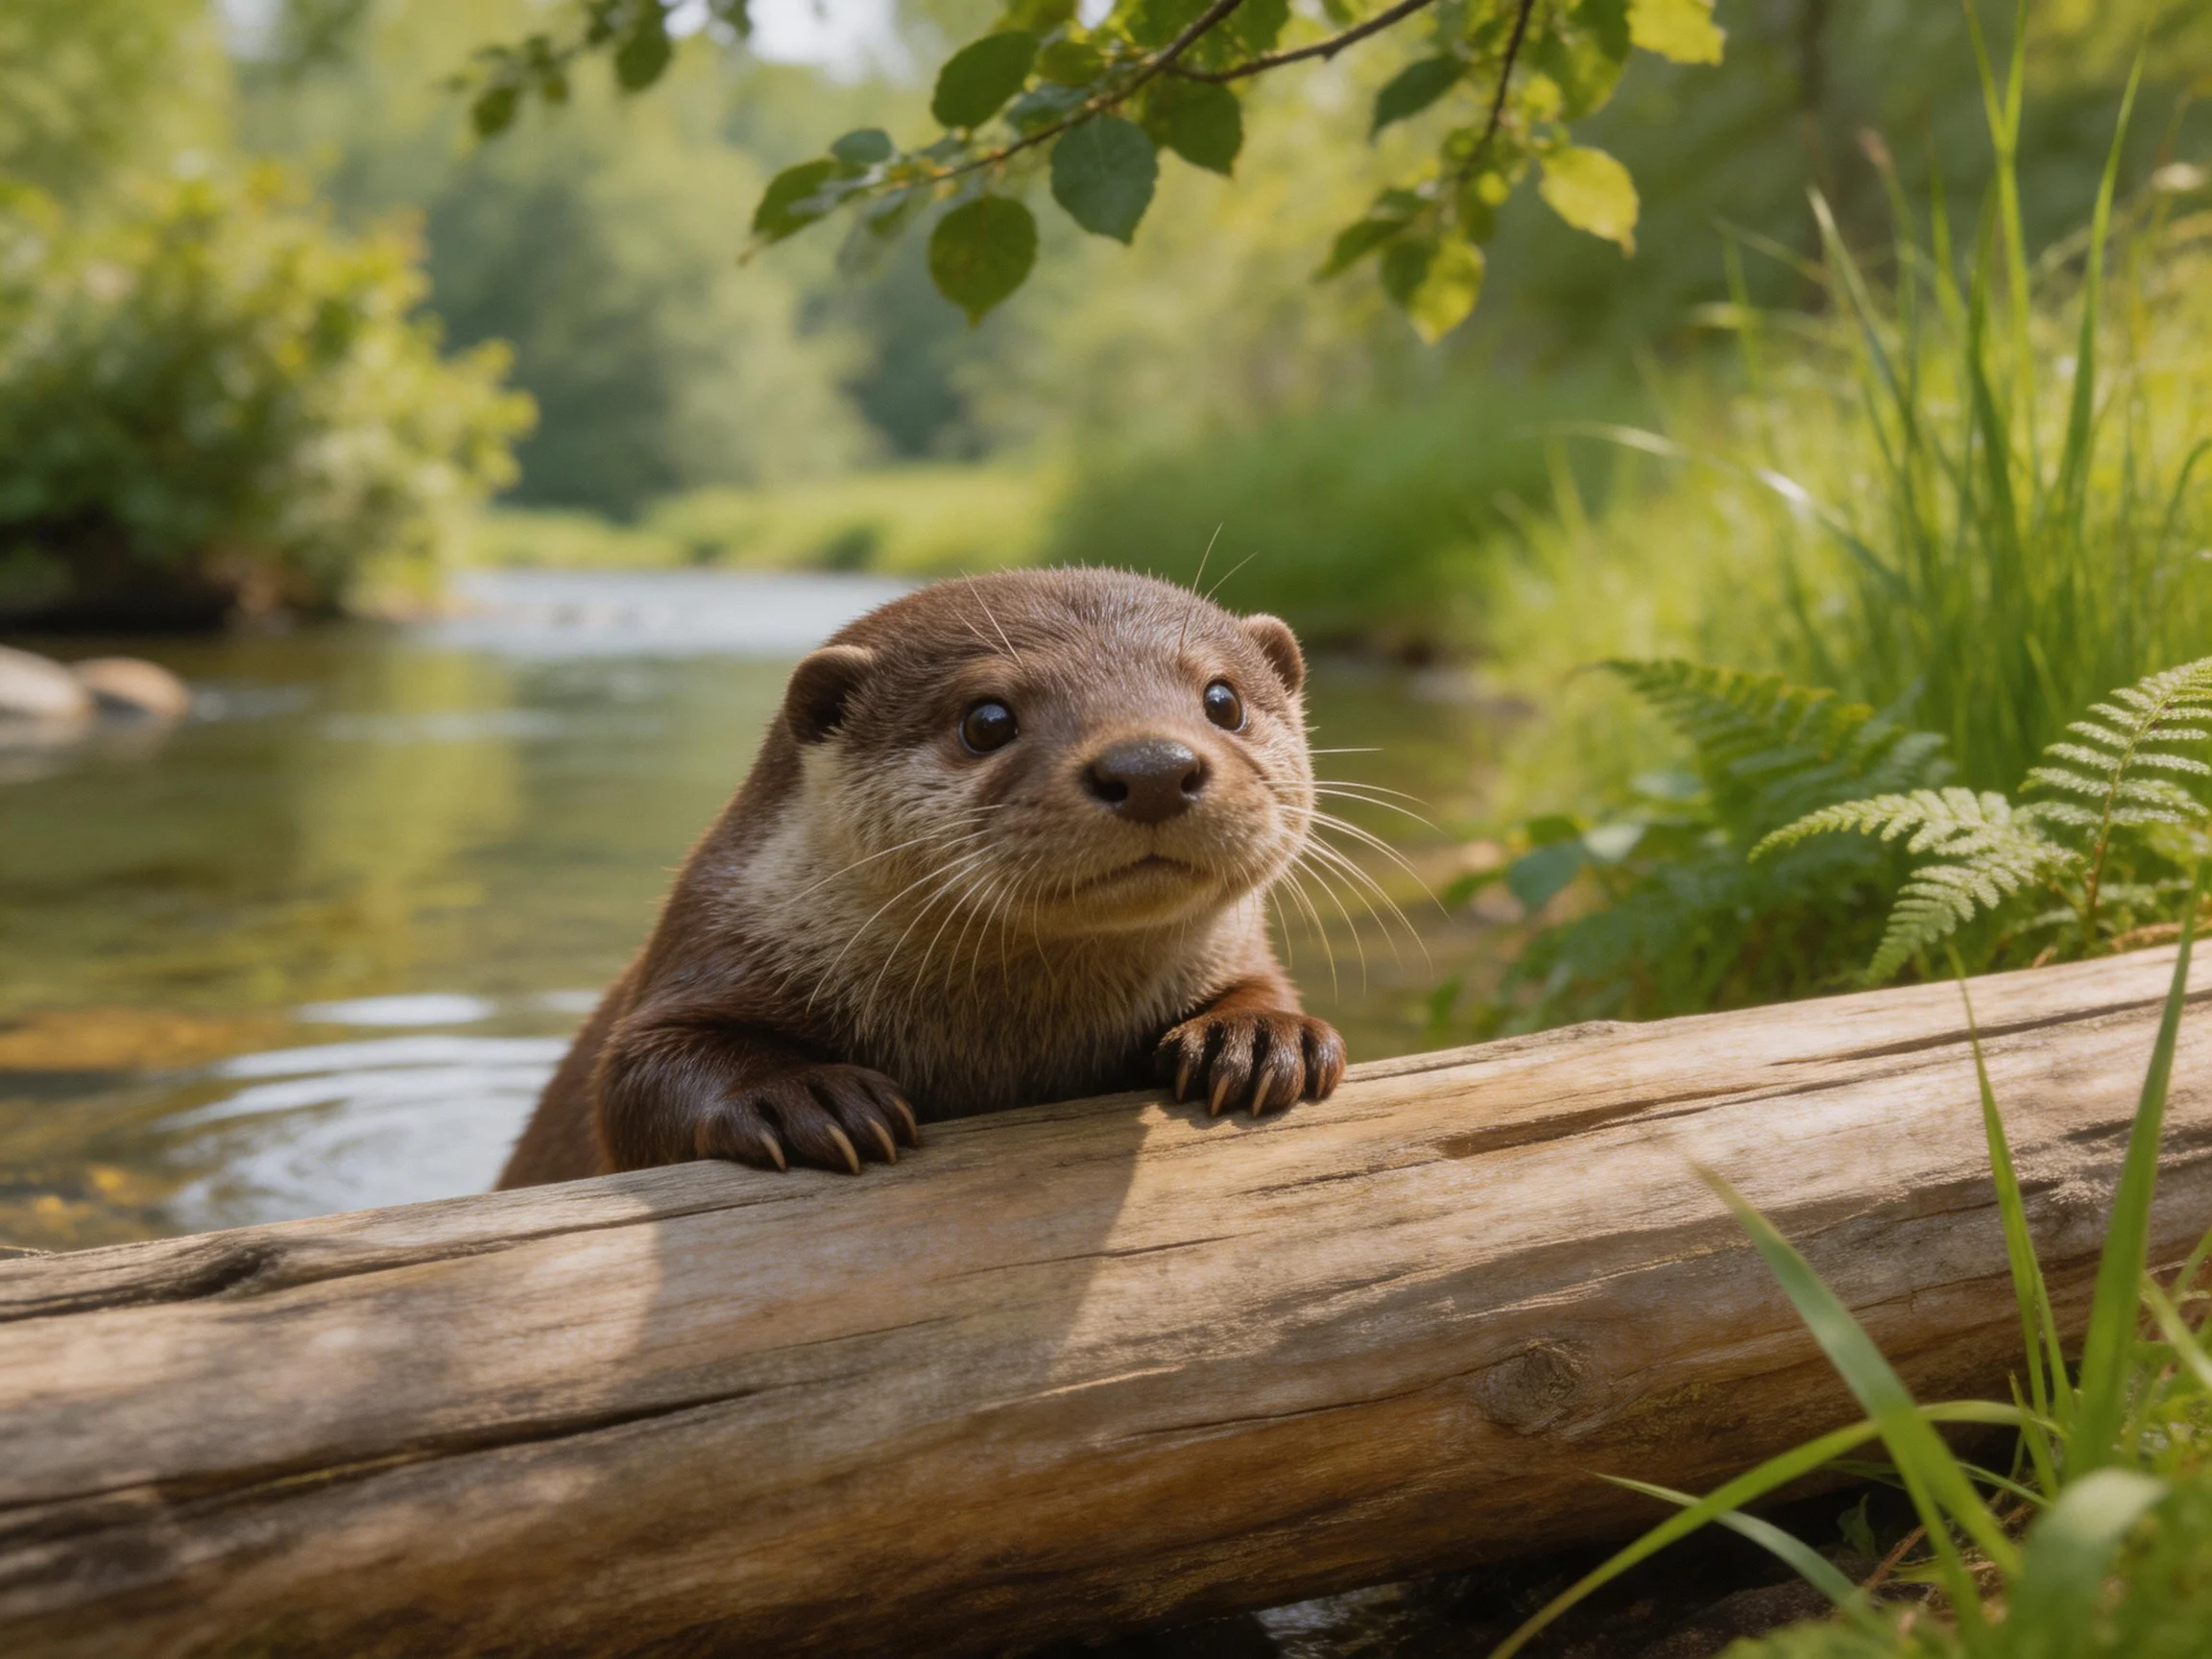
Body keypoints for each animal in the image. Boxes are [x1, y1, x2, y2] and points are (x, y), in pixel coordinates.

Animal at [497, 567, 1343, 1186]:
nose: (1152, 767)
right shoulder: (706, 942)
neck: (1008, 1040)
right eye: (987, 720)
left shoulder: (1235, 951)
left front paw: (1261, 1036)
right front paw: (801, 1096)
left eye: (1222, 699)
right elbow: (630, 1078)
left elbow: (1264, 985)